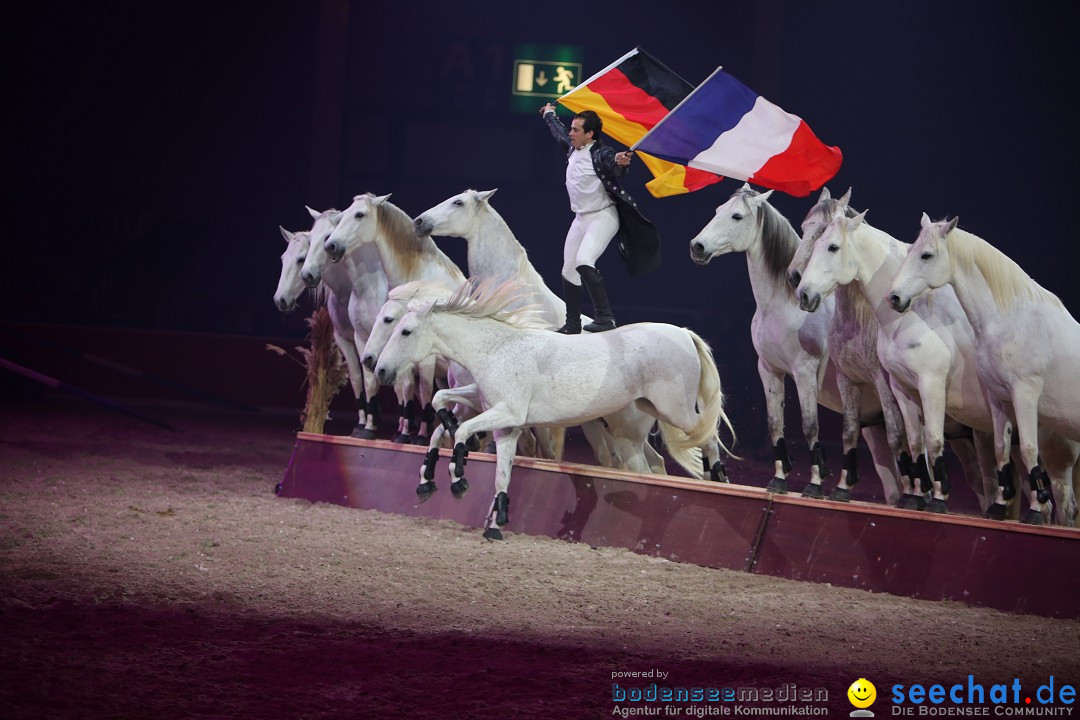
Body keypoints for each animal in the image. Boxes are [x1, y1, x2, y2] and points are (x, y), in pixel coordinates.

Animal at [375, 278, 738, 537]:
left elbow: (461, 430)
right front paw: (493, 522)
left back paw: (718, 478)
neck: (498, 349)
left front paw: (457, 480)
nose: (379, 370)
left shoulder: (506, 413)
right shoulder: (501, 420)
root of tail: (684, 333)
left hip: (674, 410)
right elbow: (491, 462)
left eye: (404, 330)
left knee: (706, 436)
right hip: (642, 419)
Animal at [686, 183, 898, 500]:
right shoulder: (769, 371)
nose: (697, 247)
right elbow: (775, 425)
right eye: (717, 211)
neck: (783, 306)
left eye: (737, 216)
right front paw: (779, 480)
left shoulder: (805, 373)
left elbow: (810, 427)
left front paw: (815, 483)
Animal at [885, 213, 1080, 524]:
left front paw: (1034, 513)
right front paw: (999, 507)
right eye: (910, 251)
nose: (894, 298)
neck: (1011, 320)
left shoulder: (1025, 395)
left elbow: (1028, 450)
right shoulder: (999, 398)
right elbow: (1002, 451)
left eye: (926, 255)